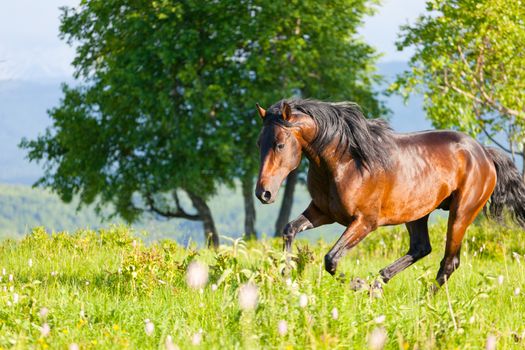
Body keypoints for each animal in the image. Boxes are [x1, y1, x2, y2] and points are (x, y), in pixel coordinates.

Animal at [254, 98, 524, 288]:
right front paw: (286, 276)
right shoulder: (323, 212)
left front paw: (357, 284)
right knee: (421, 248)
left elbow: (331, 258)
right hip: (417, 213)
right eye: (259, 143)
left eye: (280, 144)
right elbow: (289, 230)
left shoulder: (365, 222)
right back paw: (379, 282)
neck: (345, 162)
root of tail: (484, 153)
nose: (263, 193)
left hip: (461, 214)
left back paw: (419, 302)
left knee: (449, 262)